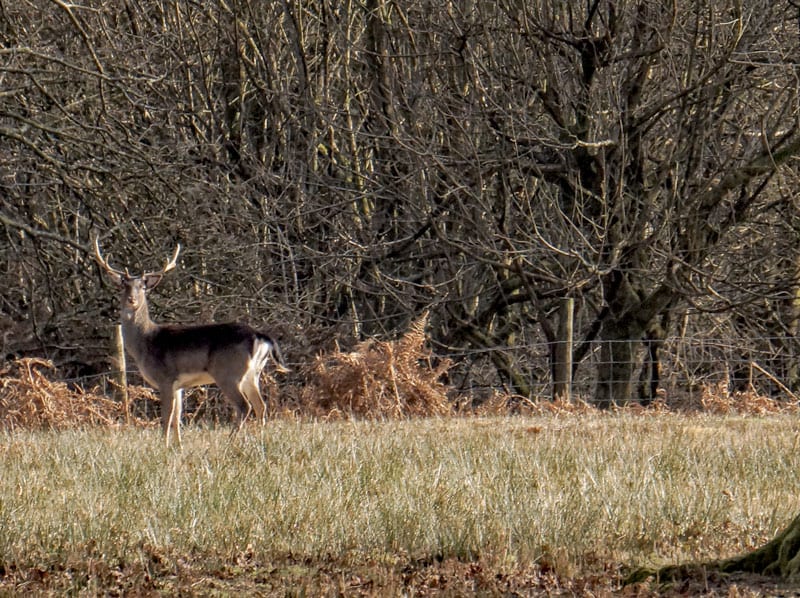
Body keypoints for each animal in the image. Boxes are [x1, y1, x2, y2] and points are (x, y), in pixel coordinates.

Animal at [94, 239, 288, 450]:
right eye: (124, 285)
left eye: (142, 286)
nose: (132, 299)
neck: (145, 343)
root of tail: (259, 335)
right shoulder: (179, 385)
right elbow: (177, 416)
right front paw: (178, 446)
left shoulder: (165, 377)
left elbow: (167, 416)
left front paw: (163, 445)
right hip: (253, 373)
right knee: (261, 405)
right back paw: (260, 439)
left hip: (228, 372)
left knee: (245, 405)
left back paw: (230, 441)